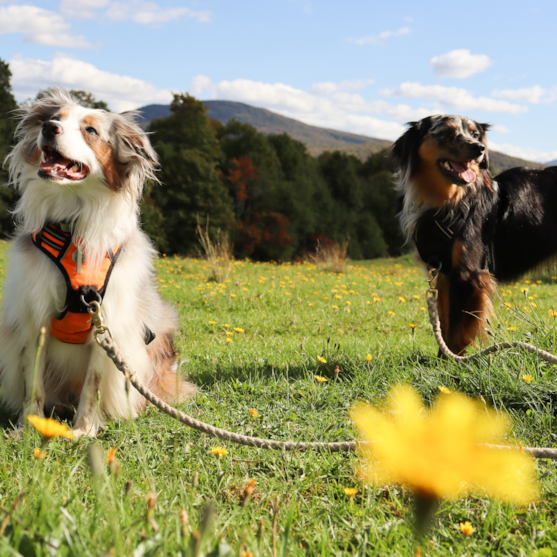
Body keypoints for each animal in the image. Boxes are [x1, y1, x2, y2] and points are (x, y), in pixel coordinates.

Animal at [0, 87, 195, 436]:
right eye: (55, 118)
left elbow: (93, 385)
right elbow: (32, 383)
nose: (48, 127)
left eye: (90, 130)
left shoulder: (109, 324)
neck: (73, 226)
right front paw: (30, 428)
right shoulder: (33, 318)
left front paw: (83, 431)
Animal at [390, 115, 556, 354]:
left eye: (476, 134)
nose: (480, 148)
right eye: (446, 133)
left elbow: (457, 331)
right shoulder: (443, 273)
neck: (447, 202)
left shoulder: (469, 274)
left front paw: (453, 361)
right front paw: (444, 357)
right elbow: (444, 324)